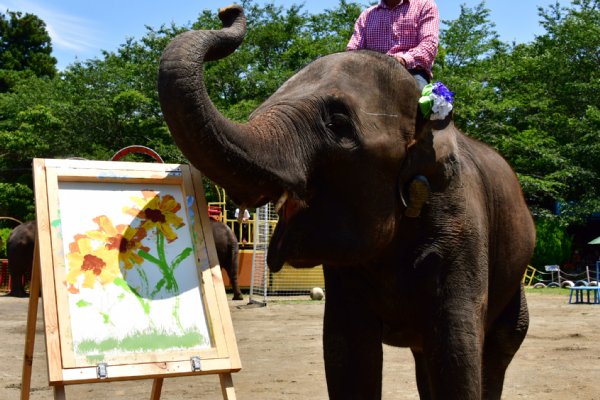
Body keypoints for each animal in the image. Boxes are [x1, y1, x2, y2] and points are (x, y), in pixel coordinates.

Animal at [158, 4, 536, 398]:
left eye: (337, 122)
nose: (228, 11)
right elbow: (348, 353)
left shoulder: (462, 224)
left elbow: (456, 351)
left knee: (498, 347)